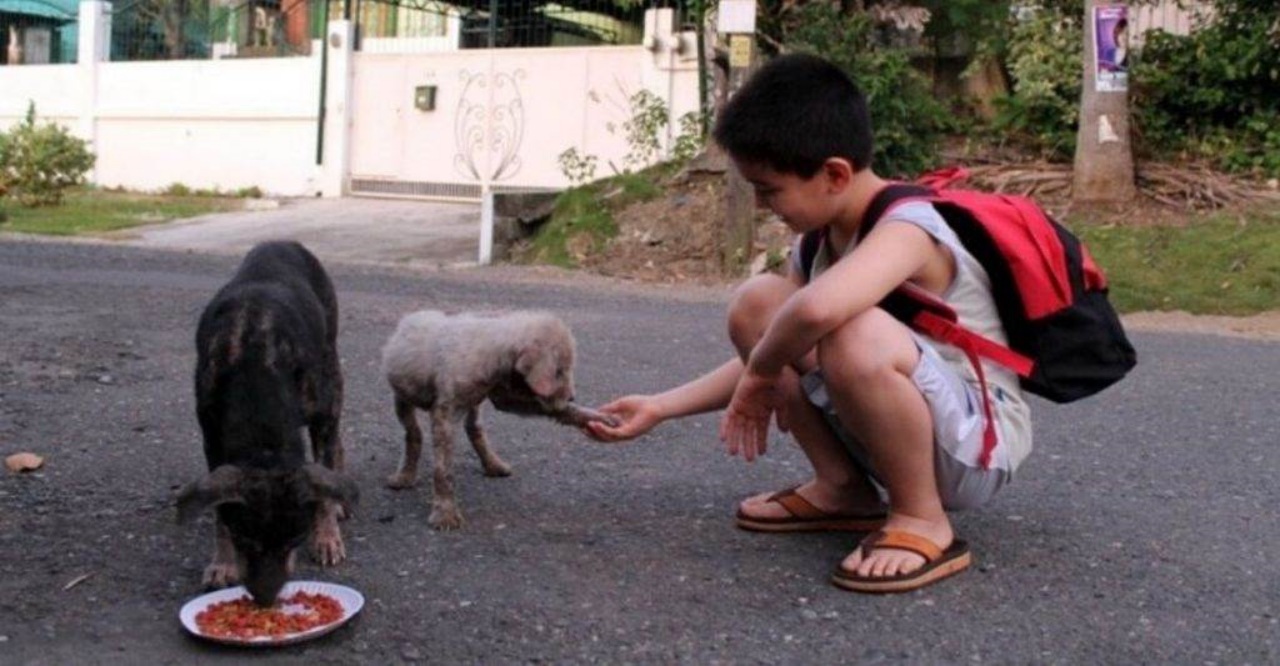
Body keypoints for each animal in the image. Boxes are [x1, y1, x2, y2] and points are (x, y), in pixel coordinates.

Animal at [177, 242, 358, 607]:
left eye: (295, 540)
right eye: (244, 539)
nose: (264, 599)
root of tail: (284, 241)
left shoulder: (320, 412)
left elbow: (322, 478)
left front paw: (326, 536)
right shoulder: (212, 438)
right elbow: (220, 509)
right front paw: (222, 563)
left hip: (331, 368)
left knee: (334, 443)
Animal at [376, 308, 611, 530]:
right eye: (559, 370)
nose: (572, 396)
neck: (492, 348)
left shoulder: (506, 396)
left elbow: (554, 409)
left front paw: (600, 418)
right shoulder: (444, 415)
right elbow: (443, 470)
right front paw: (445, 513)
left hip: (474, 406)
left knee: (475, 430)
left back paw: (493, 464)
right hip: (402, 398)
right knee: (413, 433)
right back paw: (405, 475)